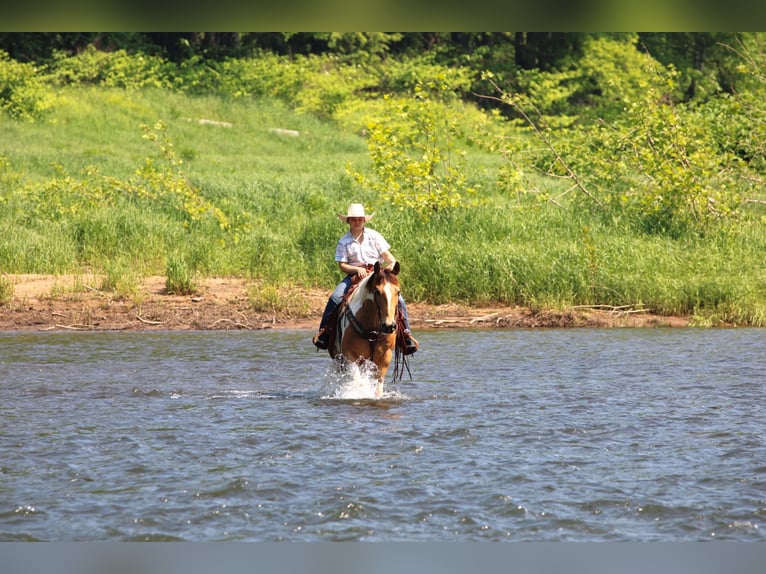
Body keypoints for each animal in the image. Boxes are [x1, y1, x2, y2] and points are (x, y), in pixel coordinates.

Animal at [326, 261, 406, 398]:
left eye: (398, 292)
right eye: (377, 291)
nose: (389, 326)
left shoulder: (385, 357)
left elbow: (378, 388)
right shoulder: (350, 356)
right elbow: (359, 383)